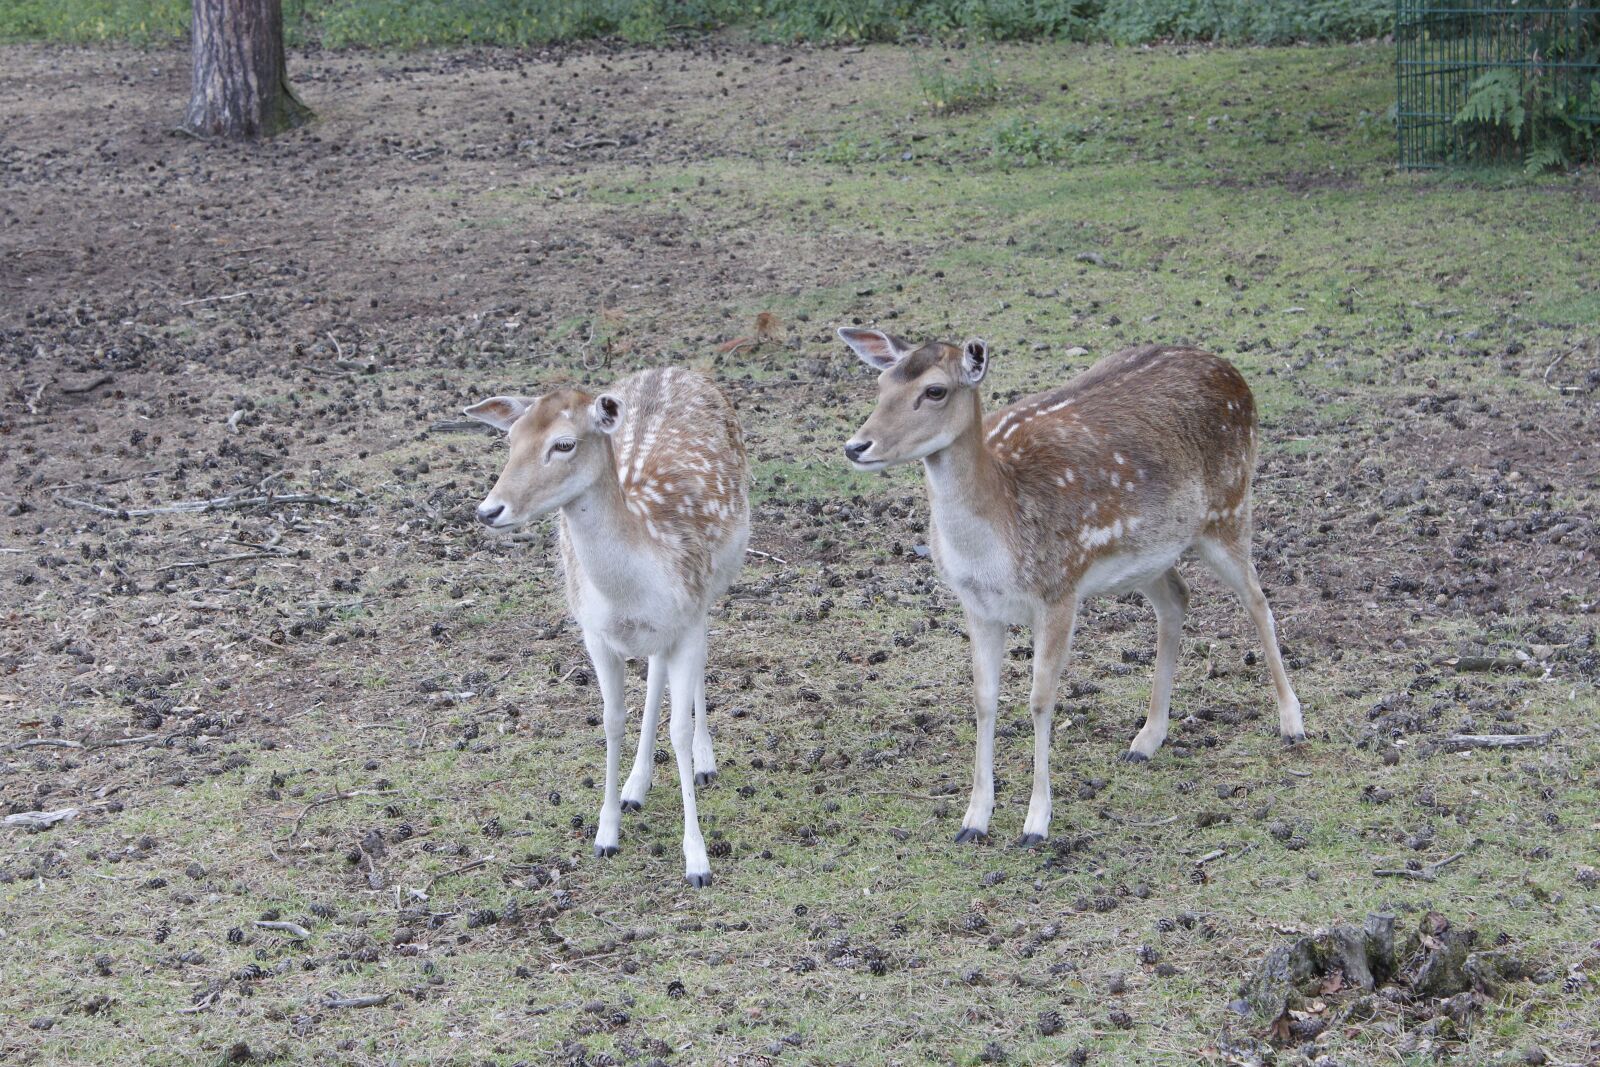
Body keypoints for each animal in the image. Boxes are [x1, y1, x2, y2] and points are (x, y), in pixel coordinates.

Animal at [465, 366, 750, 887]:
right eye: (511, 439)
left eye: (563, 444)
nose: (489, 511)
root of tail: (673, 369)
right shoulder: (594, 635)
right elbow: (612, 720)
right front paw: (606, 834)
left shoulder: (688, 614)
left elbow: (679, 728)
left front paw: (697, 860)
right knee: (655, 670)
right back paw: (636, 786)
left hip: (720, 578)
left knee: (696, 662)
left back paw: (704, 762)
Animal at [838, 329, 1304, 848]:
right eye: (881, 384)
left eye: (934, 390)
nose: (857, 445)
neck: (999, 538)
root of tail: (1232, 371)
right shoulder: (976, 604)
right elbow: (982, 699)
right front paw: (973, 820)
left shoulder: (1060, 590)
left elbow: (1041, 701)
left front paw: (1036, 823)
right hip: (1151, 552)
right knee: (1177, 598)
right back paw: (1147, 738)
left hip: (1230, 506)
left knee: (1258, 600)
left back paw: (1292, 723)